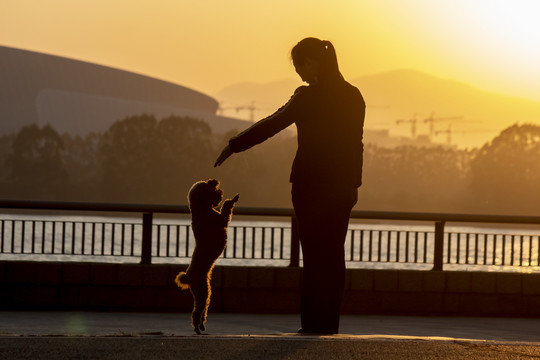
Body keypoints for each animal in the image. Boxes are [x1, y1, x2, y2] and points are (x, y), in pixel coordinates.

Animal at [175, 179, 238, 334]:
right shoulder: (221, 220)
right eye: (212, 189)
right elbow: (226, 209)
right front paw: (232, 199)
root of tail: (188, 276)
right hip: (202, 291)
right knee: (197, 312)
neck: (202, 209)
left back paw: (202, 326)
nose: (220, 191)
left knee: (203, 309)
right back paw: (197, 328)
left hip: (205, 291)